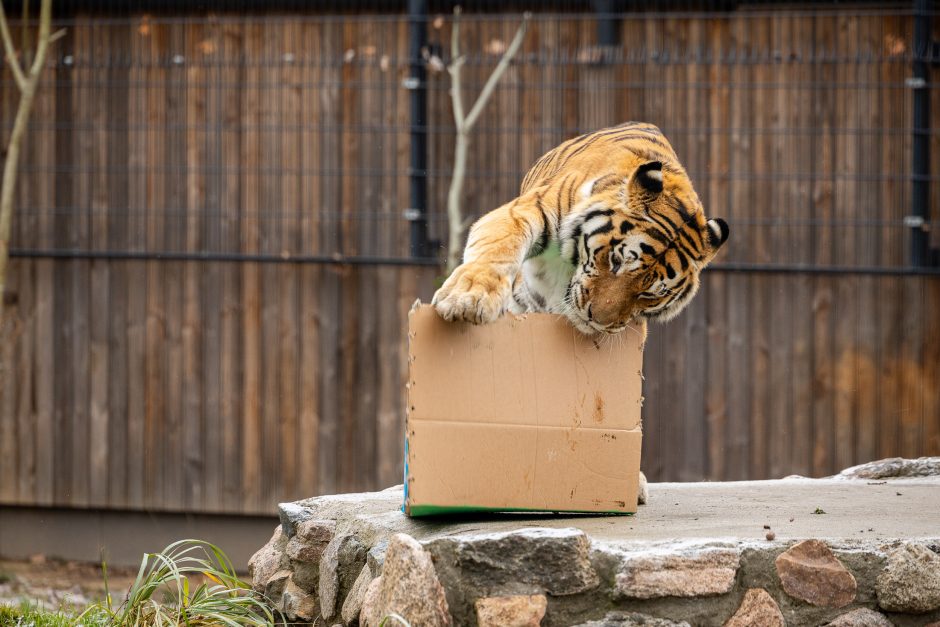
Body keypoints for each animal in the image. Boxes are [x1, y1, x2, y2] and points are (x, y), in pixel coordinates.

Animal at [430, 121, 732, 506]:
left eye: (649, 293)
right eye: (617, 260)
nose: (597, 319)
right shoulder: (526, 210)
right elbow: (499, 245)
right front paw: (468, 297)